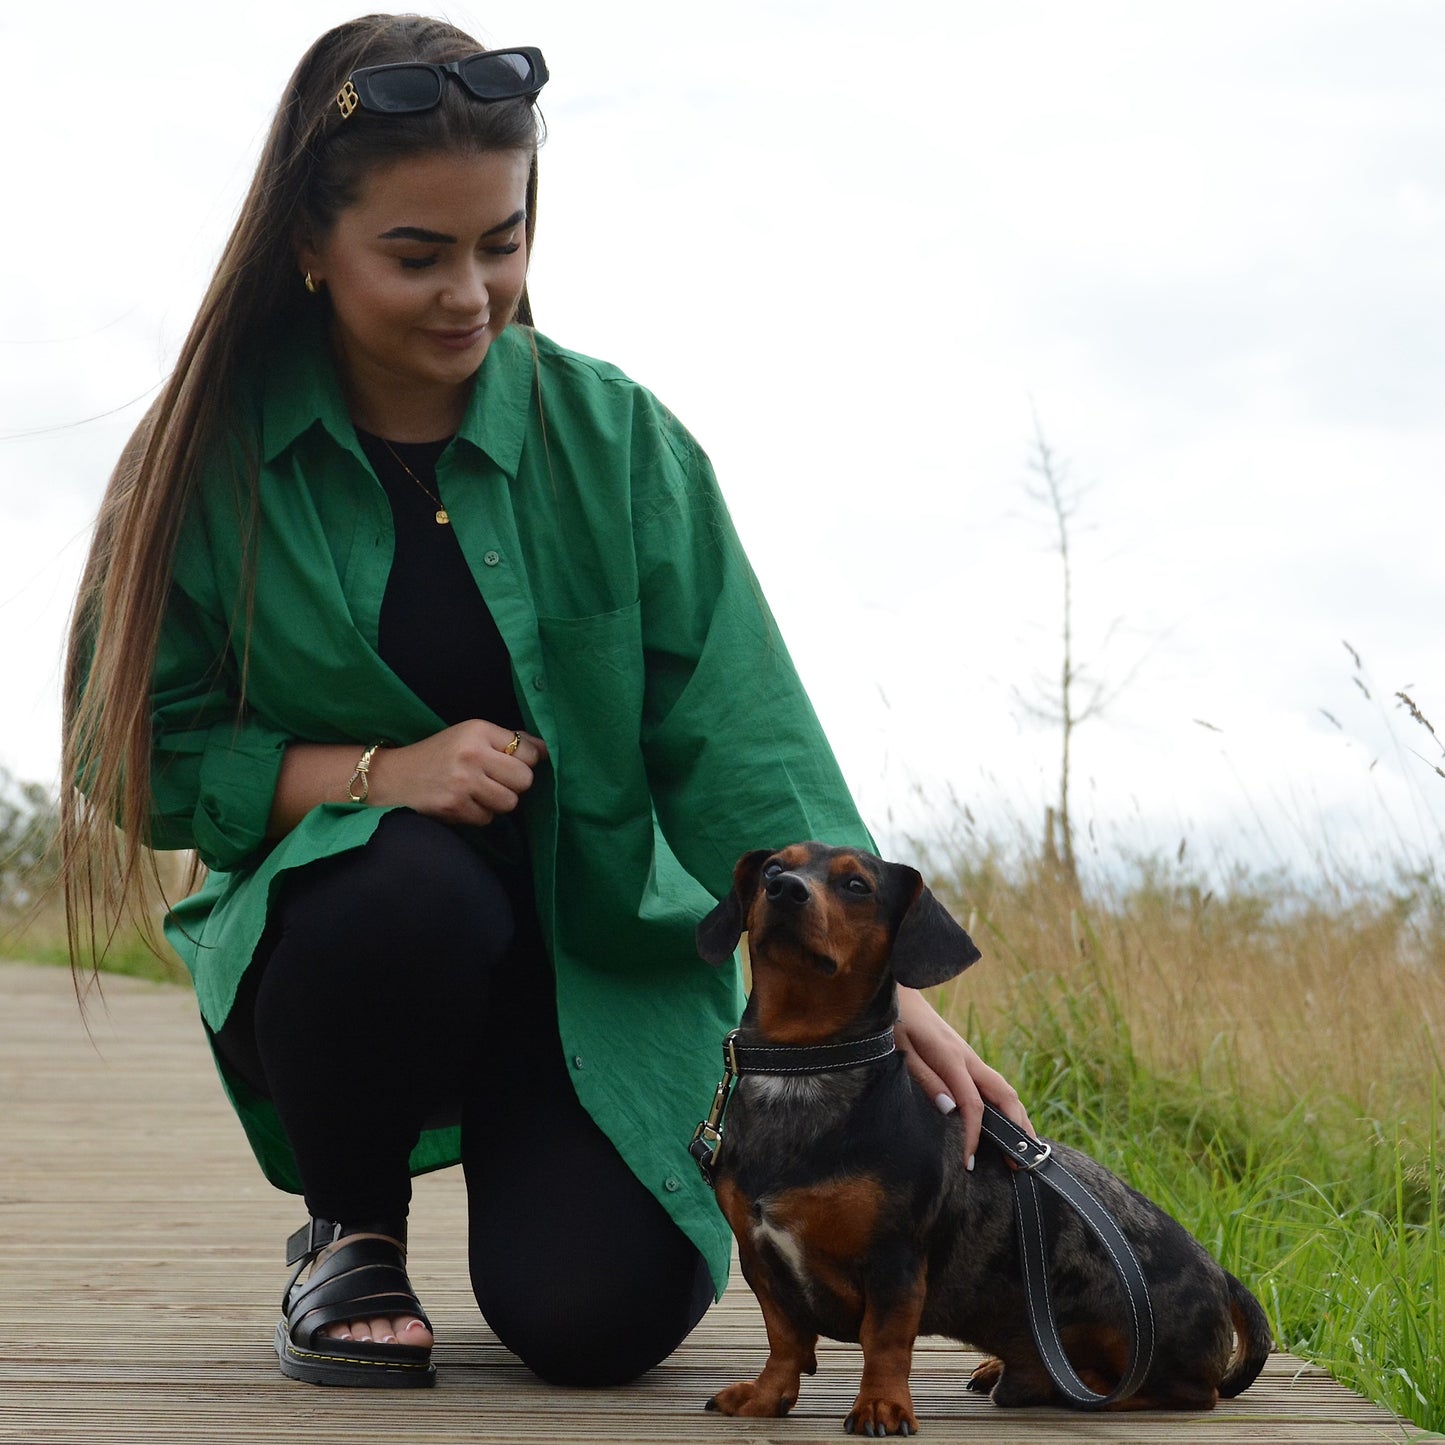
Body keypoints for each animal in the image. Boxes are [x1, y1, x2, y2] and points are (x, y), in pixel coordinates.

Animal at [693, 843, 1271, 1433]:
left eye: (857, 885)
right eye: (772, 868)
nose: (784, 889)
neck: (802, 1069)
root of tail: (1222, 1273)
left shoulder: (895, 1262)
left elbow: (885, 1341)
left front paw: (881, 1404)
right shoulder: (760, 1260)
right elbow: (784, 1338)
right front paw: (766, 1396)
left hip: (1137, 1343)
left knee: (1188, 1392)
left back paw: (1069, 1386)